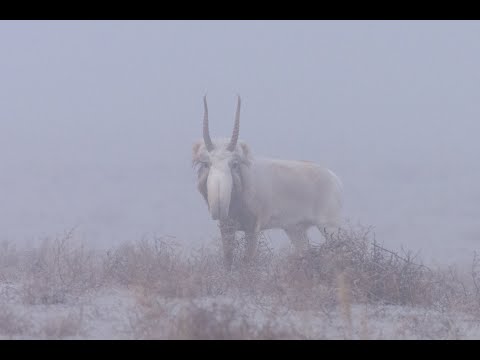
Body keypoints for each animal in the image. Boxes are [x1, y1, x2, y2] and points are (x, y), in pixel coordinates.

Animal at [191, 95, 342, 270]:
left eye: (234, 164)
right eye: (206, 163)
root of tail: (335, 179)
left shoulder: (253, 228)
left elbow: (247, 262)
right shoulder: (226, 227)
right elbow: (228, 259)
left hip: (329, 226)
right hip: (295, 230)